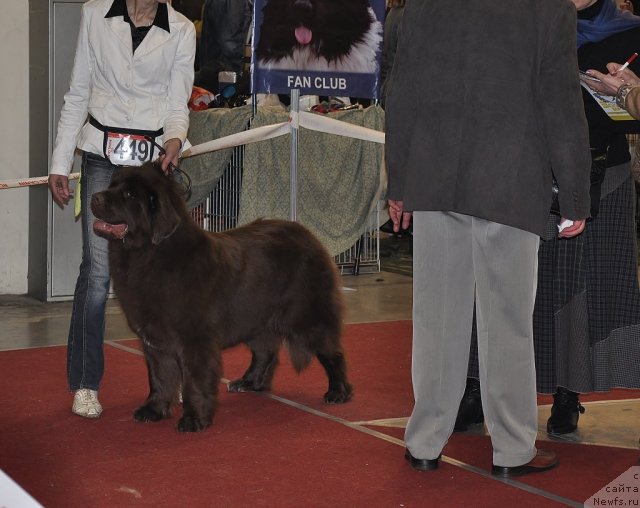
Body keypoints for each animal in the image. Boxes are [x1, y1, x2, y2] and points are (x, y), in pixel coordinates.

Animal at [90, 163, 352, 432]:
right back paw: (249, 382)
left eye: (129, 195)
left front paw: (194, 419)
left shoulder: (195, 339)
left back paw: (338, 392)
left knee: (332, 352)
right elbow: (159, 376)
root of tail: (307, 234)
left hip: (306, 316)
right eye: (112, 185)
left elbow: (194, 380)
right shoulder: (154, 340)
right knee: (265, 352)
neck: (147, 254)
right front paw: (153, 410)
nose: (94, 197)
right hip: (255, 317)